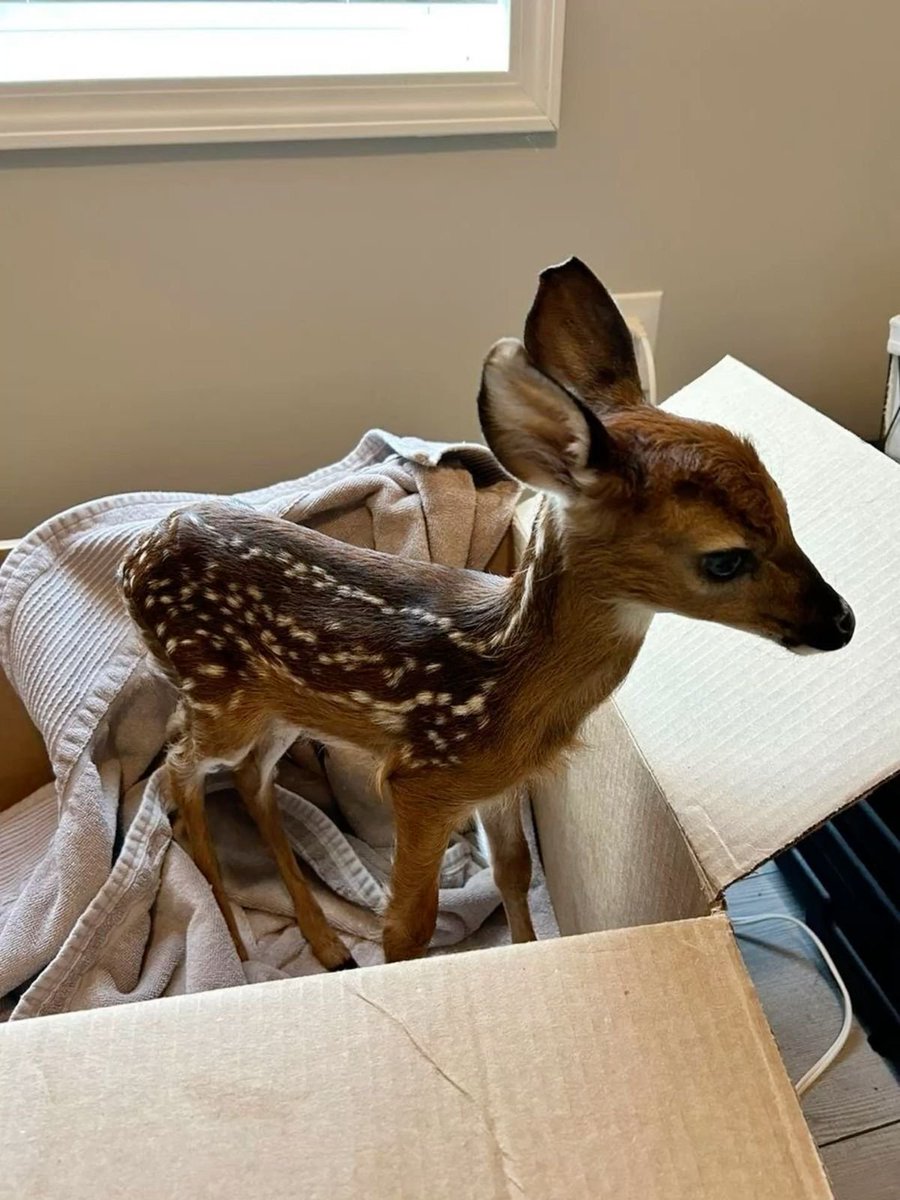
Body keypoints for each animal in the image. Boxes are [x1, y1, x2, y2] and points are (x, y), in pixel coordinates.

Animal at [119, 257, 855, 971]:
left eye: (786, 511)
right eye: (725, 559)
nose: (843, 621)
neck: (510, 680)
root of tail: (137, 556)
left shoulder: (500, 785)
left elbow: (513, 873)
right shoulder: (424, 779)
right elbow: (408, 929)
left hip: (282, 708)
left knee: (247, 778)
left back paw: (326, 944)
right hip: (218, 694)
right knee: (174, 773)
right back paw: (241, 944)